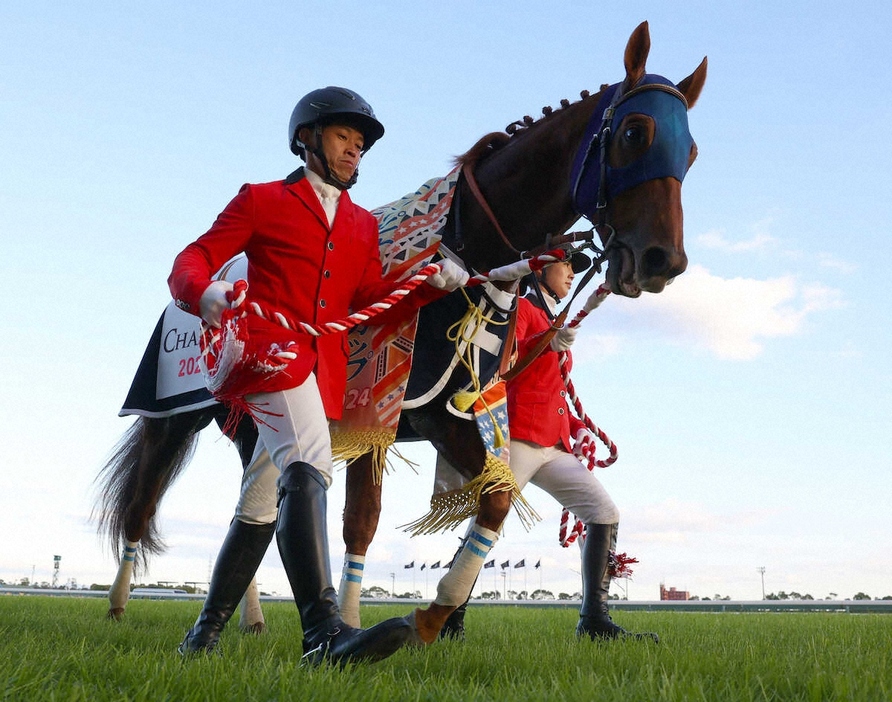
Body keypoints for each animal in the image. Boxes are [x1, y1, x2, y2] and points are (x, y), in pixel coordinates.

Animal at [90, 20, 704, 648]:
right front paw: (422, 617)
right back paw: (120, 607)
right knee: (143, 502)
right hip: (171, 419)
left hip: (250, 425)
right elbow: (463, 503)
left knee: (254, 502)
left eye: (692, 151)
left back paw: (251, 617)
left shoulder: (415, 420)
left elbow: (393, 515)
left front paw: (377, 622)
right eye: (635, 131)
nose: (662, 260)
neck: (467, 247)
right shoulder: (415, 414)